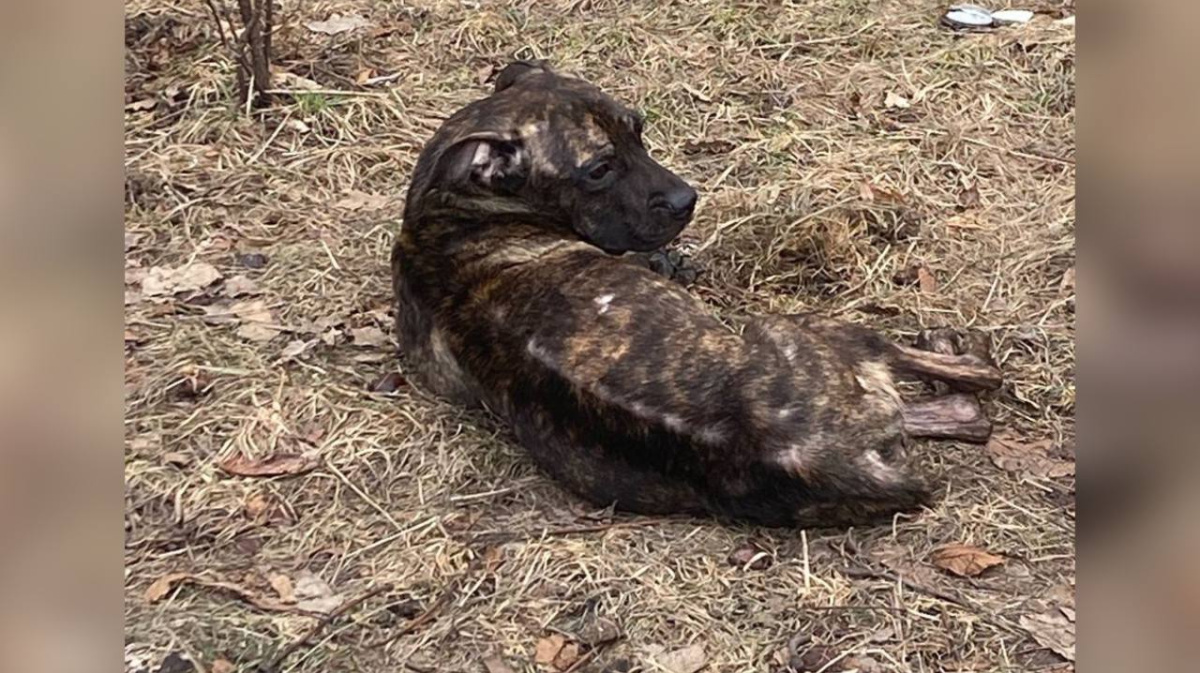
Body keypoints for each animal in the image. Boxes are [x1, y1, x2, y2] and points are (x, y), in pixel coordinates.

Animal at [388, 60, 998, 527]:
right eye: (598, 170)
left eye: (639, 129)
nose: (687, 200)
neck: (449, 217)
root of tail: (832, 457)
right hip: (808, 327)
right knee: (976, 386)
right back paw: (952, 348)